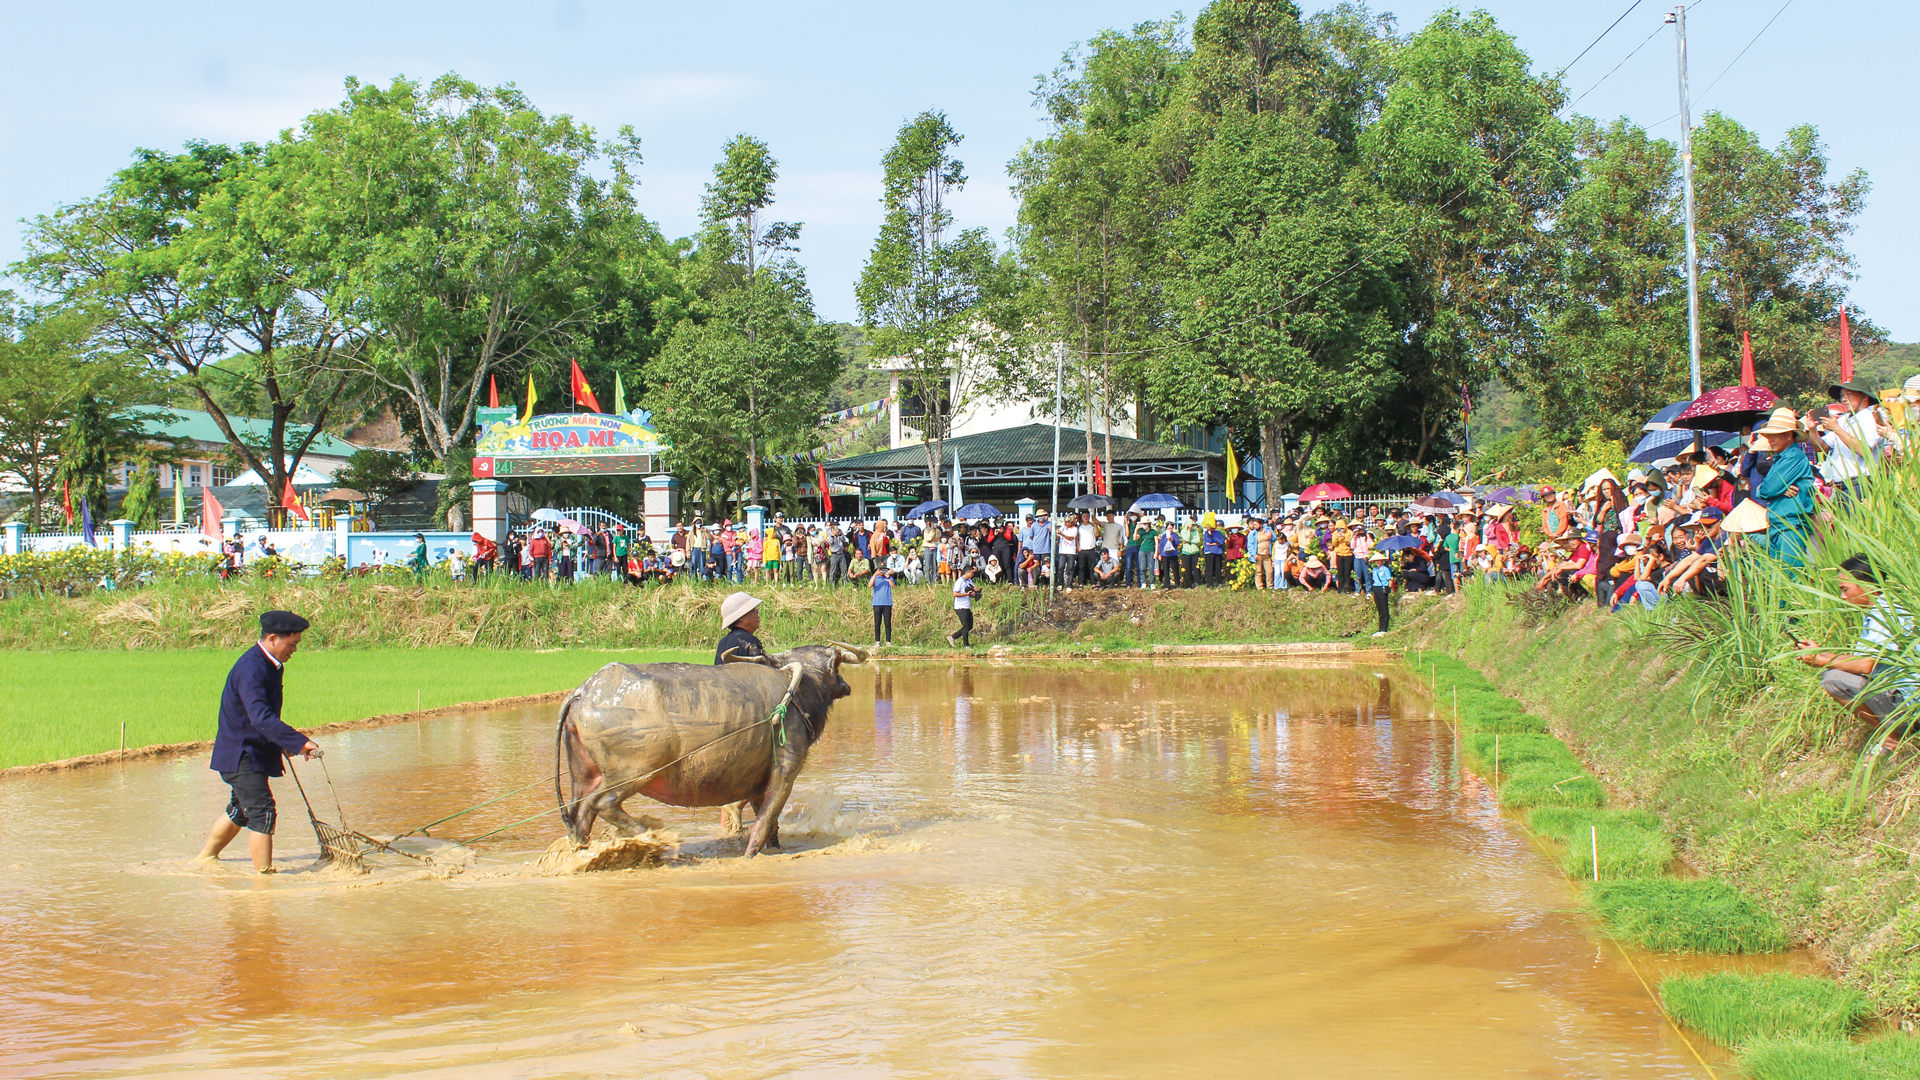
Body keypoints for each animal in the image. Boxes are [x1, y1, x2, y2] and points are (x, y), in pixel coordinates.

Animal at [549, 638, 864, 857]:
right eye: (835, 664)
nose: (846, 685)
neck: (796, 694)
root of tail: (584, 691)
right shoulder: (785, 772)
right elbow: (765, 822)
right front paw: (749, 855)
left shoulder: (758, 783)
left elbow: (770, 824)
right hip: (633, 772)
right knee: (602, 804)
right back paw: (654, 839)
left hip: (582, 776)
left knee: (580, 817)